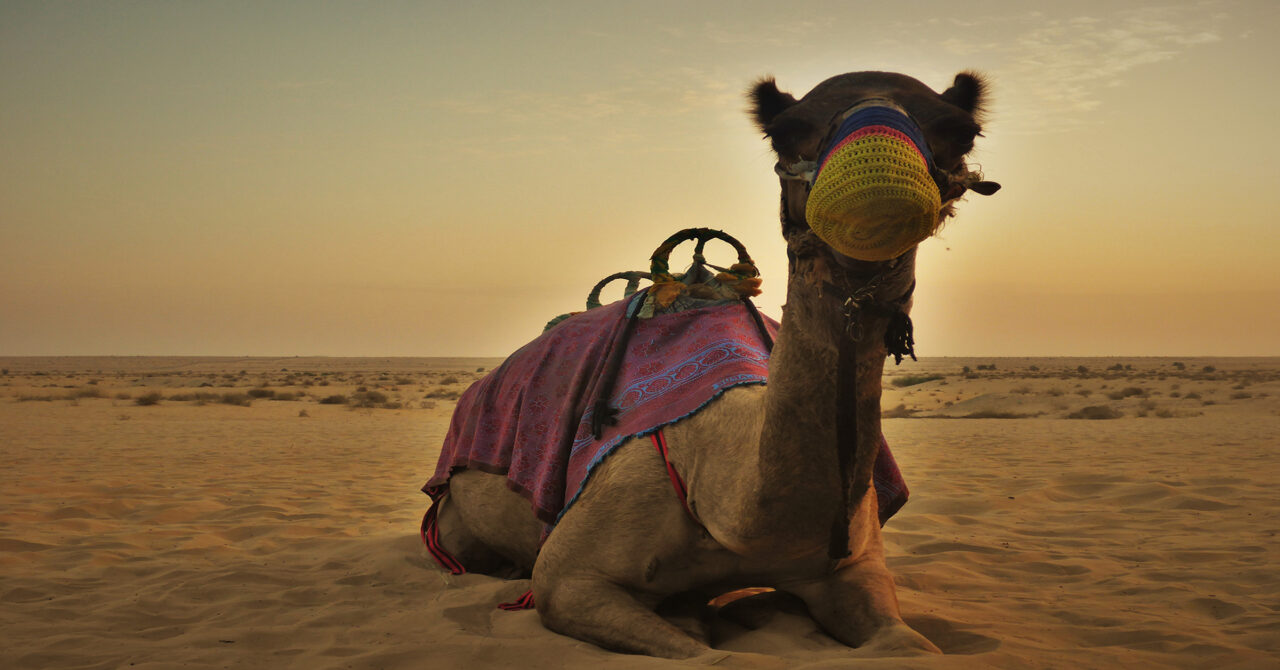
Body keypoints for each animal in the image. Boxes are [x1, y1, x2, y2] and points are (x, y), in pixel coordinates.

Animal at [428, 69, 999, 659]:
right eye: (785, 131)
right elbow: (708, 655)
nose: (878, 187)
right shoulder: (569, 580)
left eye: (961, 131)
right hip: (453, 517)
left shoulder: (854, 568)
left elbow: (912, 647)